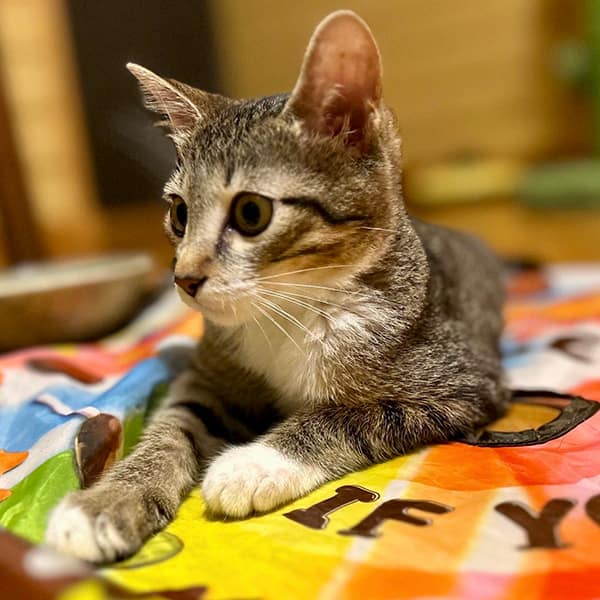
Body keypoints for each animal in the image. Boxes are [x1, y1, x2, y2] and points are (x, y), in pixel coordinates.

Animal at [45, 10, 508, 563]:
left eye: (251, 213)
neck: (289, 309)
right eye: (179, 213)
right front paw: (108, 500)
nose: (184, 278)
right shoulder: (210, 376)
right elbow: (176, 423)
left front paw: (254, 465)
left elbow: (349, 416)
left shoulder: (460, 385)